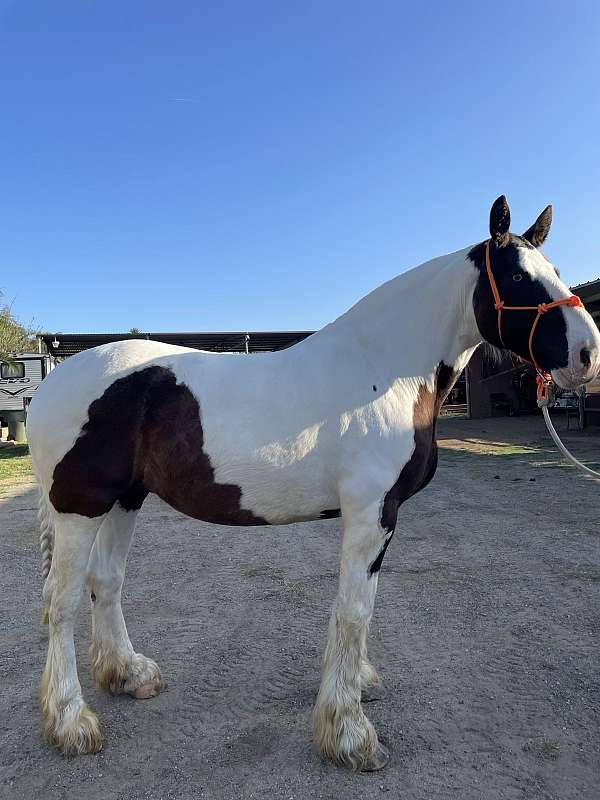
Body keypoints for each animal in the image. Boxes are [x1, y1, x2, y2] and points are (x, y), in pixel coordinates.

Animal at [28, 197, 600, 772]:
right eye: (518, 277)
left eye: (554, 270)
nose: (587, 354)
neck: (382, 368)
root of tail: (51, 382)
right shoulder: (371, 514)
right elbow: (353, 611)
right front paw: (349, 734)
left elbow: (362, 607)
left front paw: (359, 685)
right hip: (80, 505)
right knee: (62, 601)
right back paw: (72, 723)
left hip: (124, 499)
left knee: (106, 581)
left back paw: (127, 674)